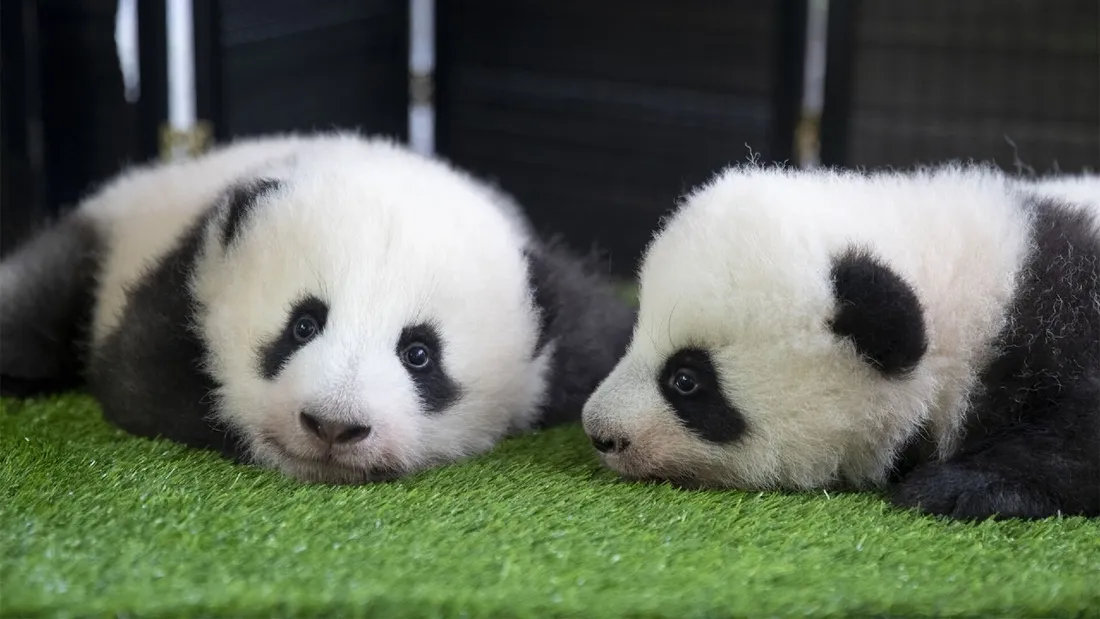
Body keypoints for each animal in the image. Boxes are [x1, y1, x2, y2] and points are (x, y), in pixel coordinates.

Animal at [0, 131, 636, 484]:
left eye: (419, 354)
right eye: (303, 325)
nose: (333, 425)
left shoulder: (562, 331)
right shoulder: (182, 282)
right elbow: (139, 382)